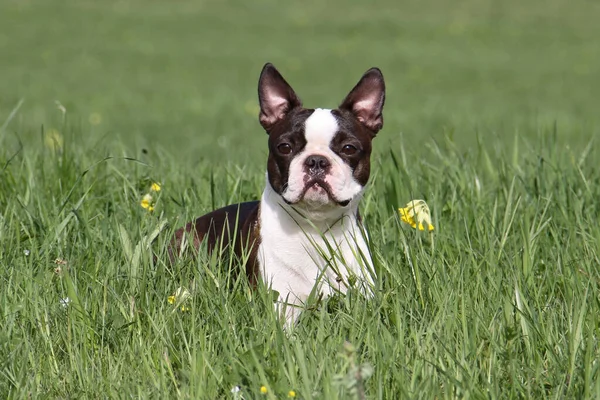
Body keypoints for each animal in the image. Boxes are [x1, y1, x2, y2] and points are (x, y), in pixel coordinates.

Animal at [170, 64, 384, 324]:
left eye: (349, 148)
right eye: (285, 147)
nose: (316, 161)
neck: (317, 227)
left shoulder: (364, 298)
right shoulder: (281, 304)